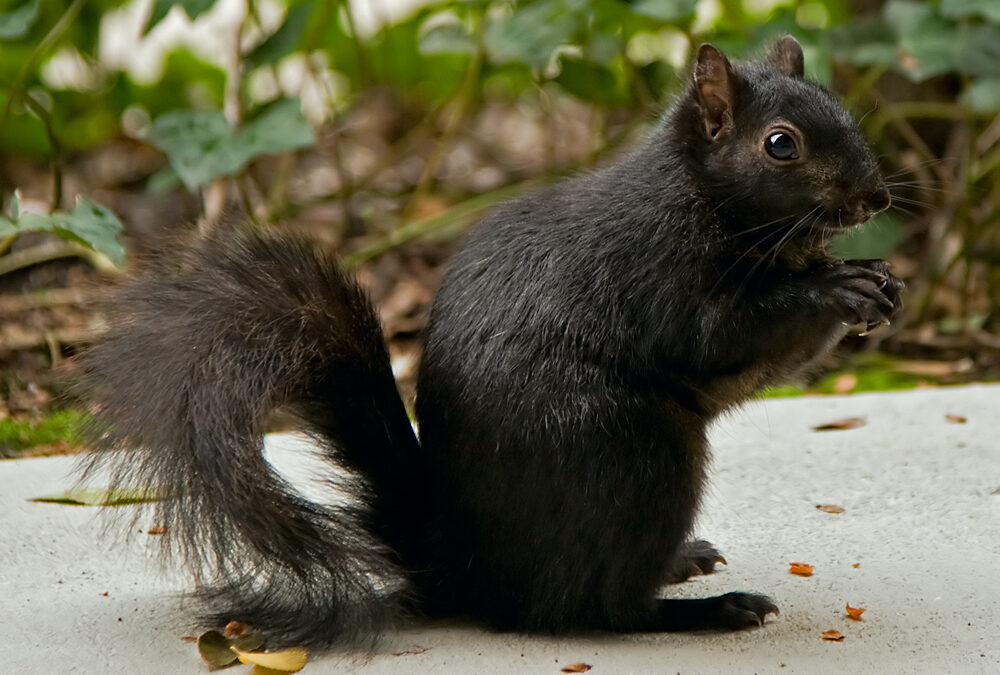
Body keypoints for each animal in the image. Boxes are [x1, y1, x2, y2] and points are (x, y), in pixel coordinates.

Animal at [80, 37, 908, 648]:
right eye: (780, 145)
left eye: (842, 110)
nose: (875, 198)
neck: (701, 197)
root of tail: (466, 568)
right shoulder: (660, 274)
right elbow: (721, 335)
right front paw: (835, 288)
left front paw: (878, 280)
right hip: (637, 455)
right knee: (594, 607)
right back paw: (704, 609)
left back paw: (683, 562)